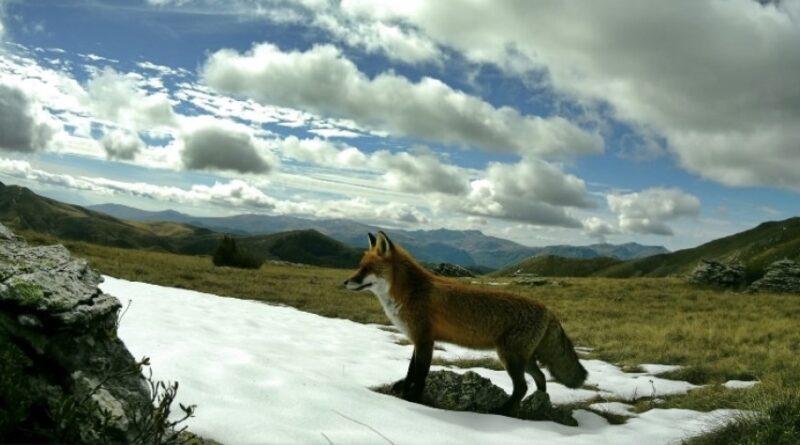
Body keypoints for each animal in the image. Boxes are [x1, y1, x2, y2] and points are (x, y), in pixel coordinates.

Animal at [343, 231, 587, 415]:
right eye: (359, 266)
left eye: (367, 269)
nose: (345, 282)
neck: (410, 293)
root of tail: (548, 309)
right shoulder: (417, 339)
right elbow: (410, 370)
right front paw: (403, 388)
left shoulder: (425, 340)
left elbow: (419, 374)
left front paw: (412, 399)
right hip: (524, 359)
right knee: (540, 378)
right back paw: (539, 402)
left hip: (509, 356)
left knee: (522, 387)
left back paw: (502, 411)